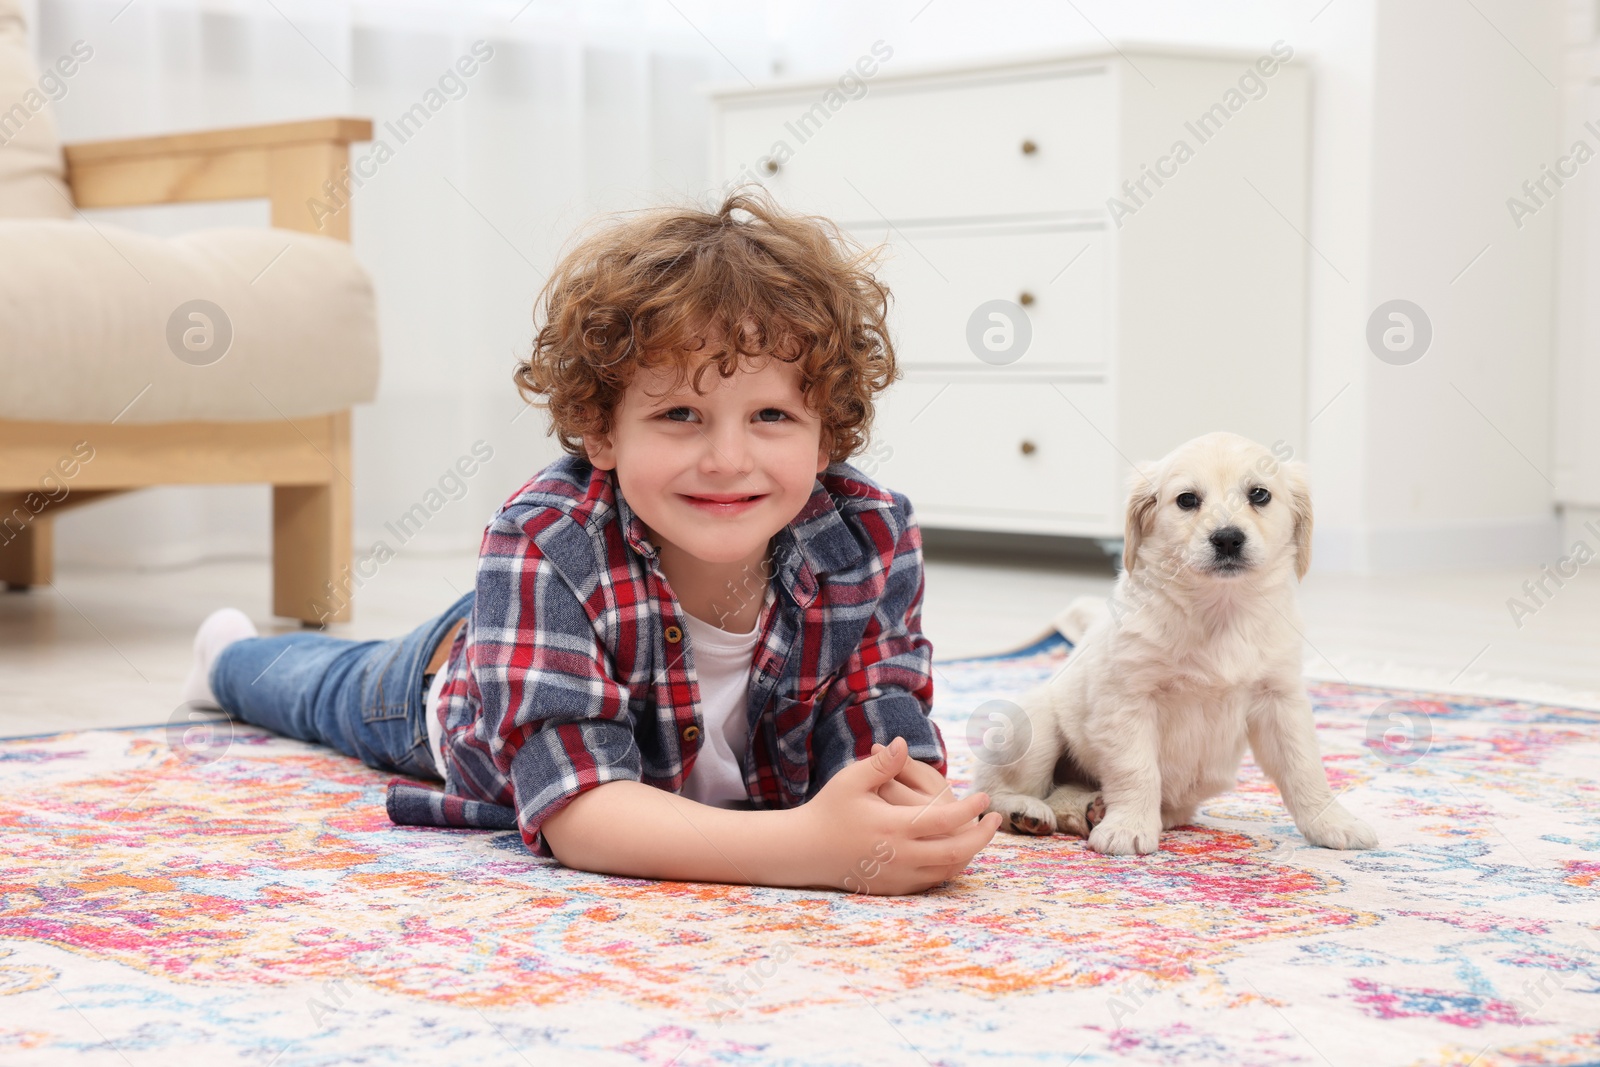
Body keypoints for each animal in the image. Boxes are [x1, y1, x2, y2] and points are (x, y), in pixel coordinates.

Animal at [972, 428, 1376, 857]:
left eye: (1259, 494)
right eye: (1187, 500)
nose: (1228, 539)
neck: (1220, 610)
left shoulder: (1280, 699)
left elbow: (1305, 768)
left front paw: (1333, 823)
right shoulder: (1127, 701)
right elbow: (1137, 770)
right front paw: (1129, 827)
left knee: (1067, 796)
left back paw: (1089, 811)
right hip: (1033, 726)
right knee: (991, 795)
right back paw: (1027, 811)